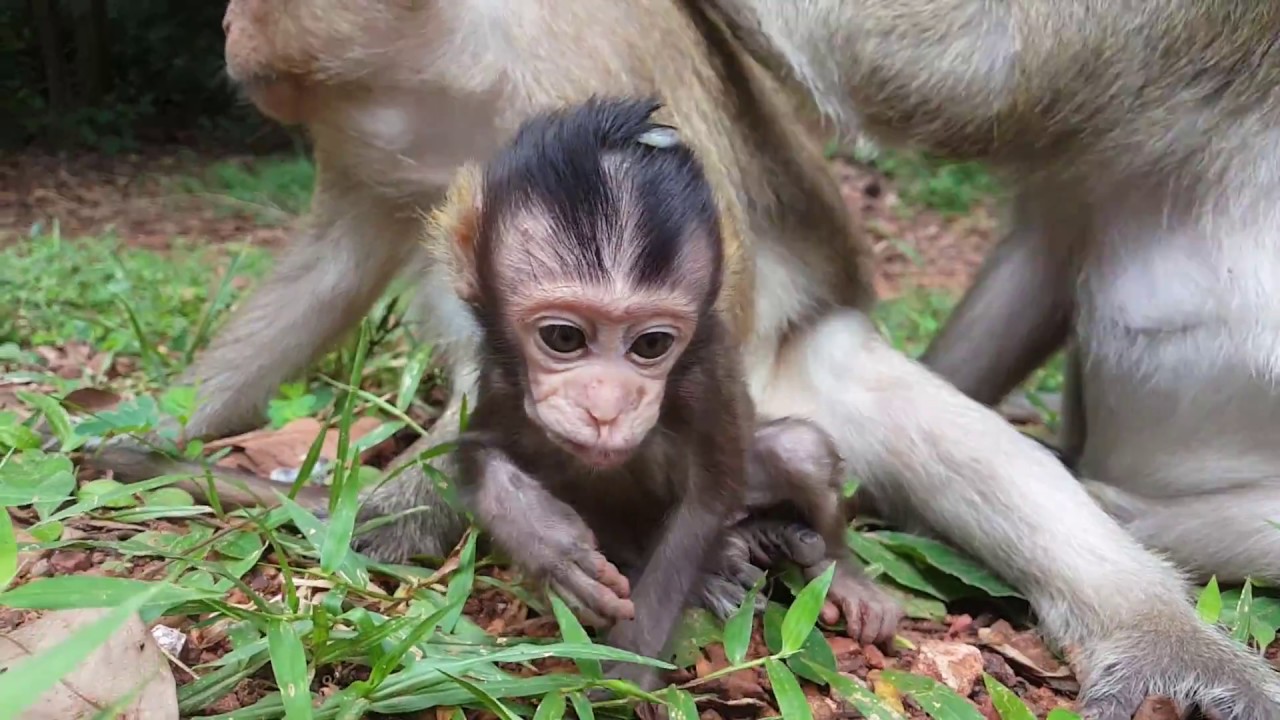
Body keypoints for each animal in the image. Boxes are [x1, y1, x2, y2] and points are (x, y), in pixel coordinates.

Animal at [80, 1, 1280, 716]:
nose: (232, 20)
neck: (450, 65)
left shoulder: (577, 69)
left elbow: (706, 294)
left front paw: (394, 505)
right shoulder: (377, 137)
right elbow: (335, 266)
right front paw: (156, 434)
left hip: (808, 386)